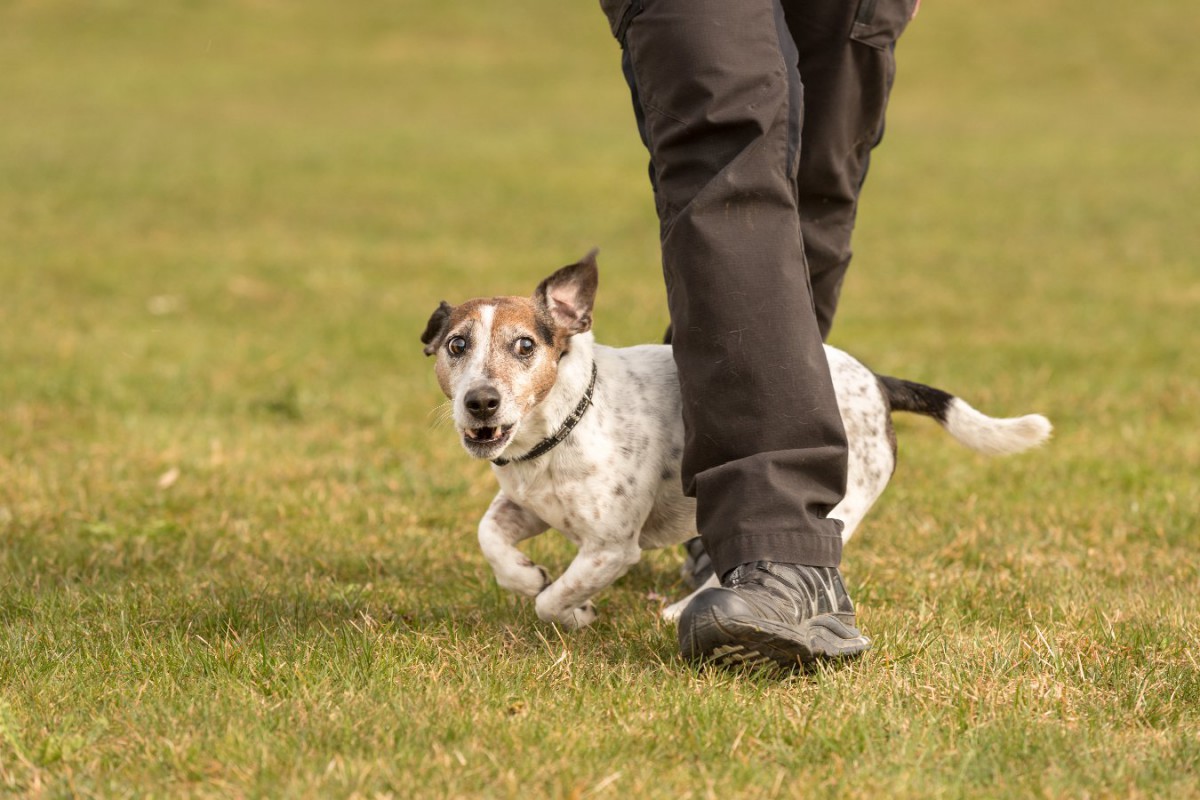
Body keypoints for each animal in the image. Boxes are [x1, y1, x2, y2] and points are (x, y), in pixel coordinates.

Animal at [422, 253, 1051, 628]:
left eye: (525, 346)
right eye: (457, 345)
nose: (480, 401)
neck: (560, 429)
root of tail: (875, 381)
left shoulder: (610, 547)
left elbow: (554, 597)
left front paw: (571, 611)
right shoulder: (527, 506)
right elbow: (490, 538)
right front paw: (525, 576)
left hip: (836, 502)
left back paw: (685, 610)